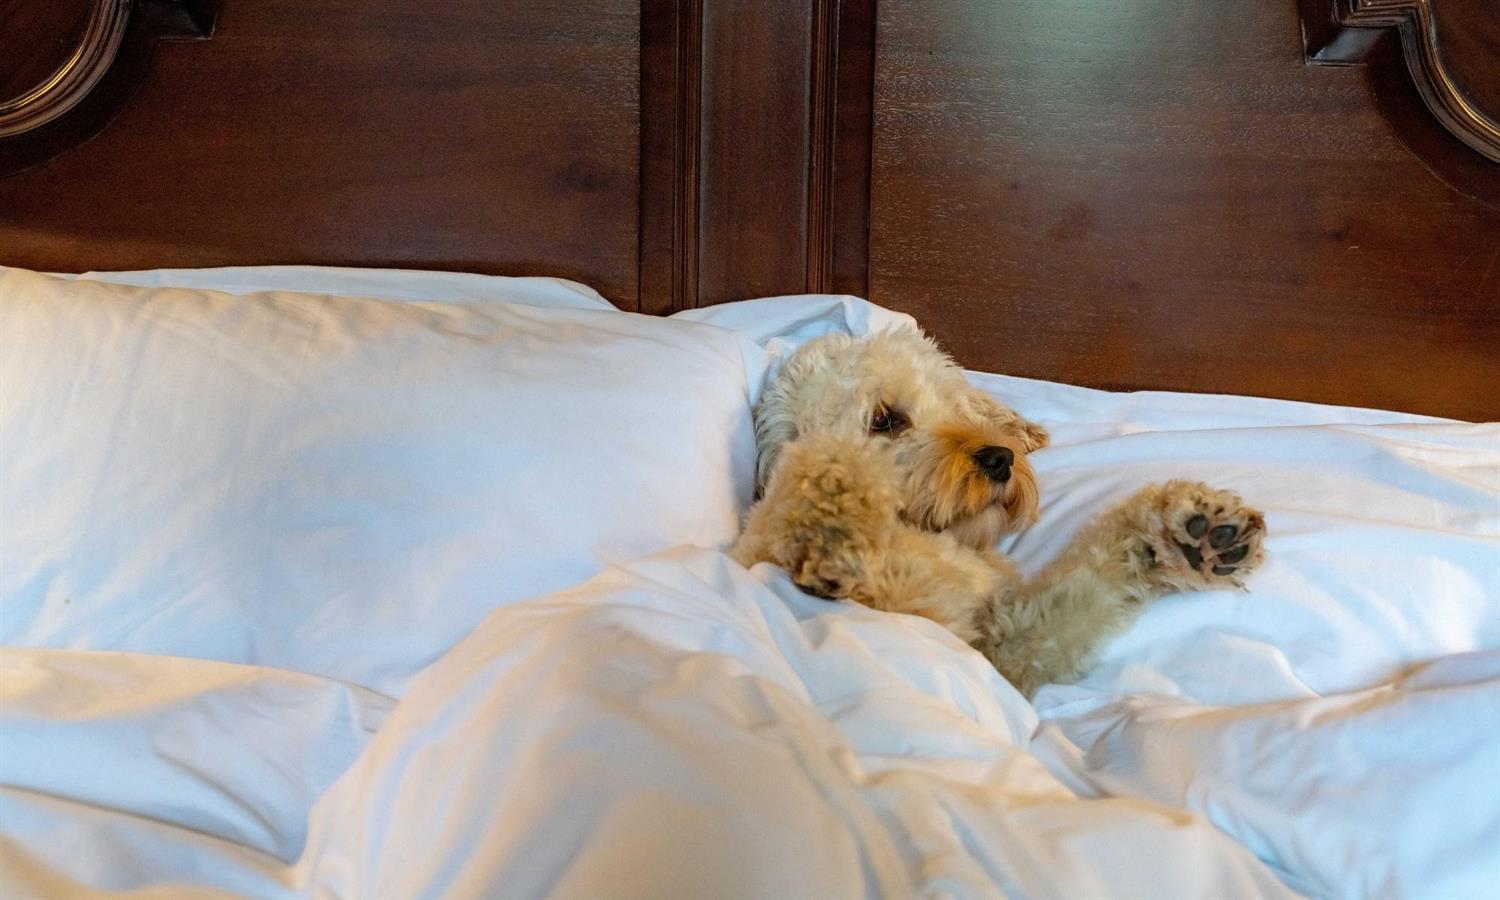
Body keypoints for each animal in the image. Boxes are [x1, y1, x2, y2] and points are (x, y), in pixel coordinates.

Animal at [729, 327, 1266, 699]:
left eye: (959, 407)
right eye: (885, 419)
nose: (1000, 458)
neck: (927, 536)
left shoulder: (1001, 647)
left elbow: (1083, 589)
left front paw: (1179, 537)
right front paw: (831, 512)